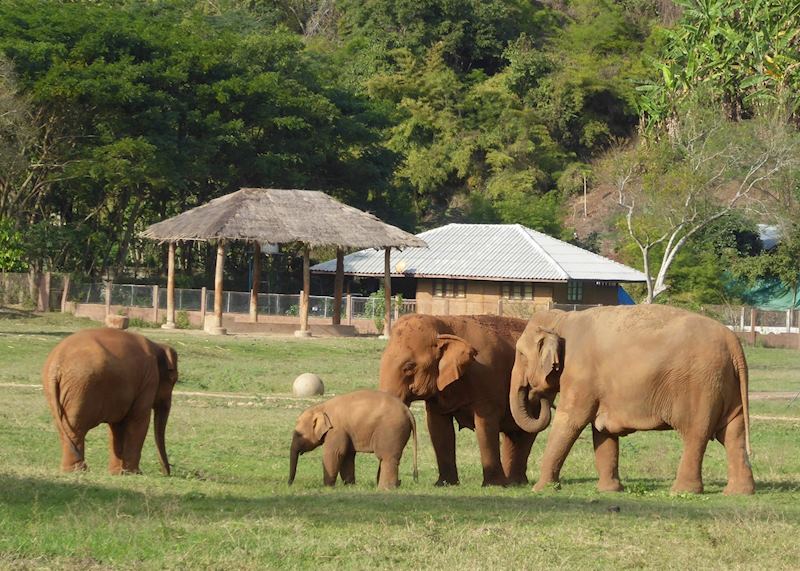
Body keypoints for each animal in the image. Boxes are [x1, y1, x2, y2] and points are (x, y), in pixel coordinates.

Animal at [41, 328, 178, 475]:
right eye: (173, 380)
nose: (166, 473)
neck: (157, 346)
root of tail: (56, 363)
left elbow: (118, 426)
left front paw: (117, 473)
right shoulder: (149, 379)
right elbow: (139, 420)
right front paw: (134, 473)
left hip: (55, 391)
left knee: (62, 426)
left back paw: (71, 469)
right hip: (80, 388)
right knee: (75, 427)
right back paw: (78, 470)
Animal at [288, 389, 418, 489]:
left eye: (298, 435)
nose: (289, 484)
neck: (320, 407)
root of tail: (408, 411)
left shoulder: (336, 430)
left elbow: (334, 453)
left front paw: (327, 487)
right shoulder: (346, 432)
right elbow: (347, 455)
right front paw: (349, 486)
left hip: (391, 429)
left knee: (386, 457)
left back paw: (385, 489)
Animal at [379, 314, 536, 487]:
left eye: (409, 367)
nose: (398, 482)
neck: (444, 324)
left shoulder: (487, 378)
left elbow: (486, 426)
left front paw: (493, 485)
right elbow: (438, 428)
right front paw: (444, 483)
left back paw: (515, 482)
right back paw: (513, 483)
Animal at [510, 305, 755, 495]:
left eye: (521, 354)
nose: (537, 394)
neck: (561, 319)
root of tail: (733, 341)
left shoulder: (580, 374)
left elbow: (571, 421)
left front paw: (540, 489)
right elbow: (603, 432)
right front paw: (609, 491)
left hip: (700, 387)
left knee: (696, 435)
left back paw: (681, 491)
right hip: (727, 386)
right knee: (732, 434)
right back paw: (738, 492)